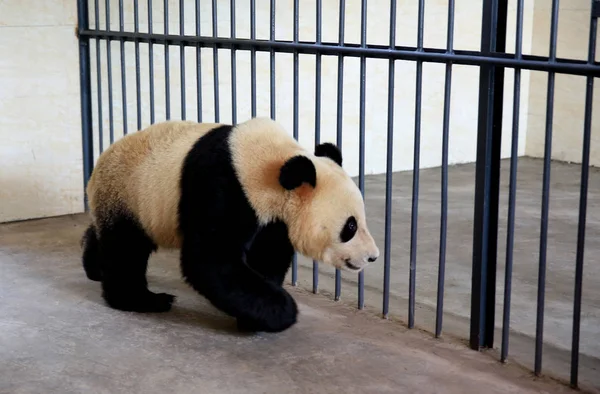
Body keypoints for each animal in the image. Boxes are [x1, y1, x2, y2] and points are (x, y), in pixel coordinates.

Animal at [81, 117, 380, 332]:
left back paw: (94, 266)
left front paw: (253, 317)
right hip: (130, 192)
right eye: (350, 227)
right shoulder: (222, 185)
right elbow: (210, 260)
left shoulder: (273, 216)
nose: (372, 256)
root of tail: (97, 168)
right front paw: (283, 311)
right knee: (126, 249)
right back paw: (144, 300)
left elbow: (266, 255)